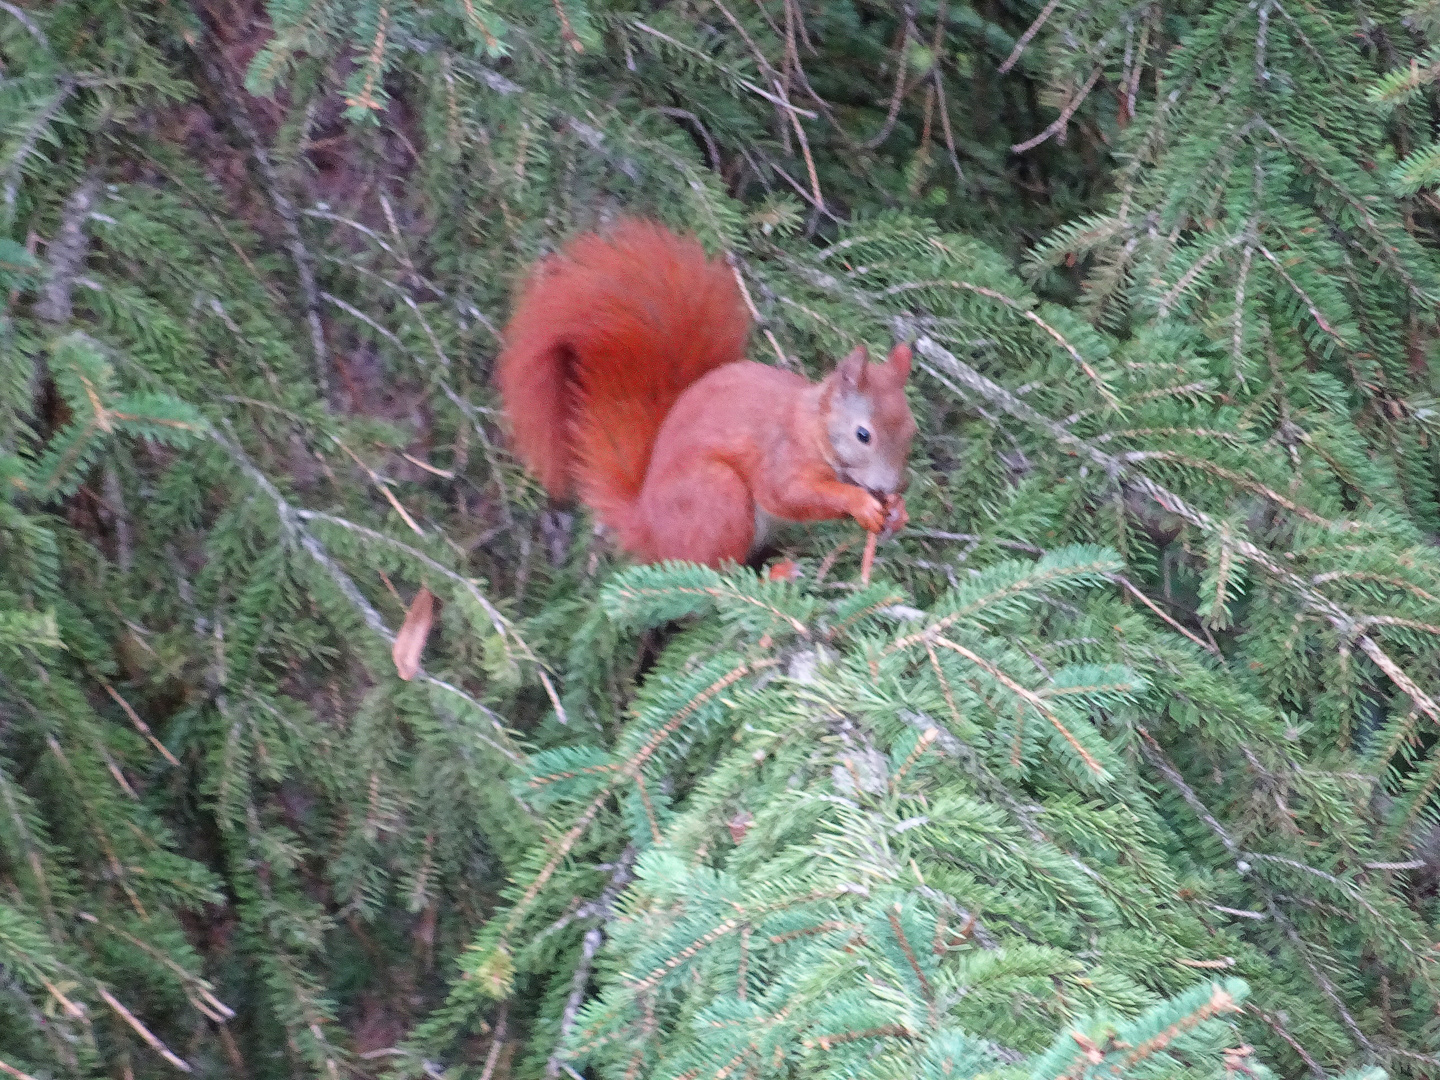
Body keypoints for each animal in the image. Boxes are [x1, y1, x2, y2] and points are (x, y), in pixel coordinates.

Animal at [501, 221, 915, 576]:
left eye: (912, 429)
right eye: (863, 435)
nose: (890, 487)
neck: (815, 426)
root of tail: (649, 527)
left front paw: (897, 511)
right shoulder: (780, 456)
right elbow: (788, 494)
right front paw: (859, 502)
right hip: (717, 498)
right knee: (713, 576)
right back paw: (775, 575)